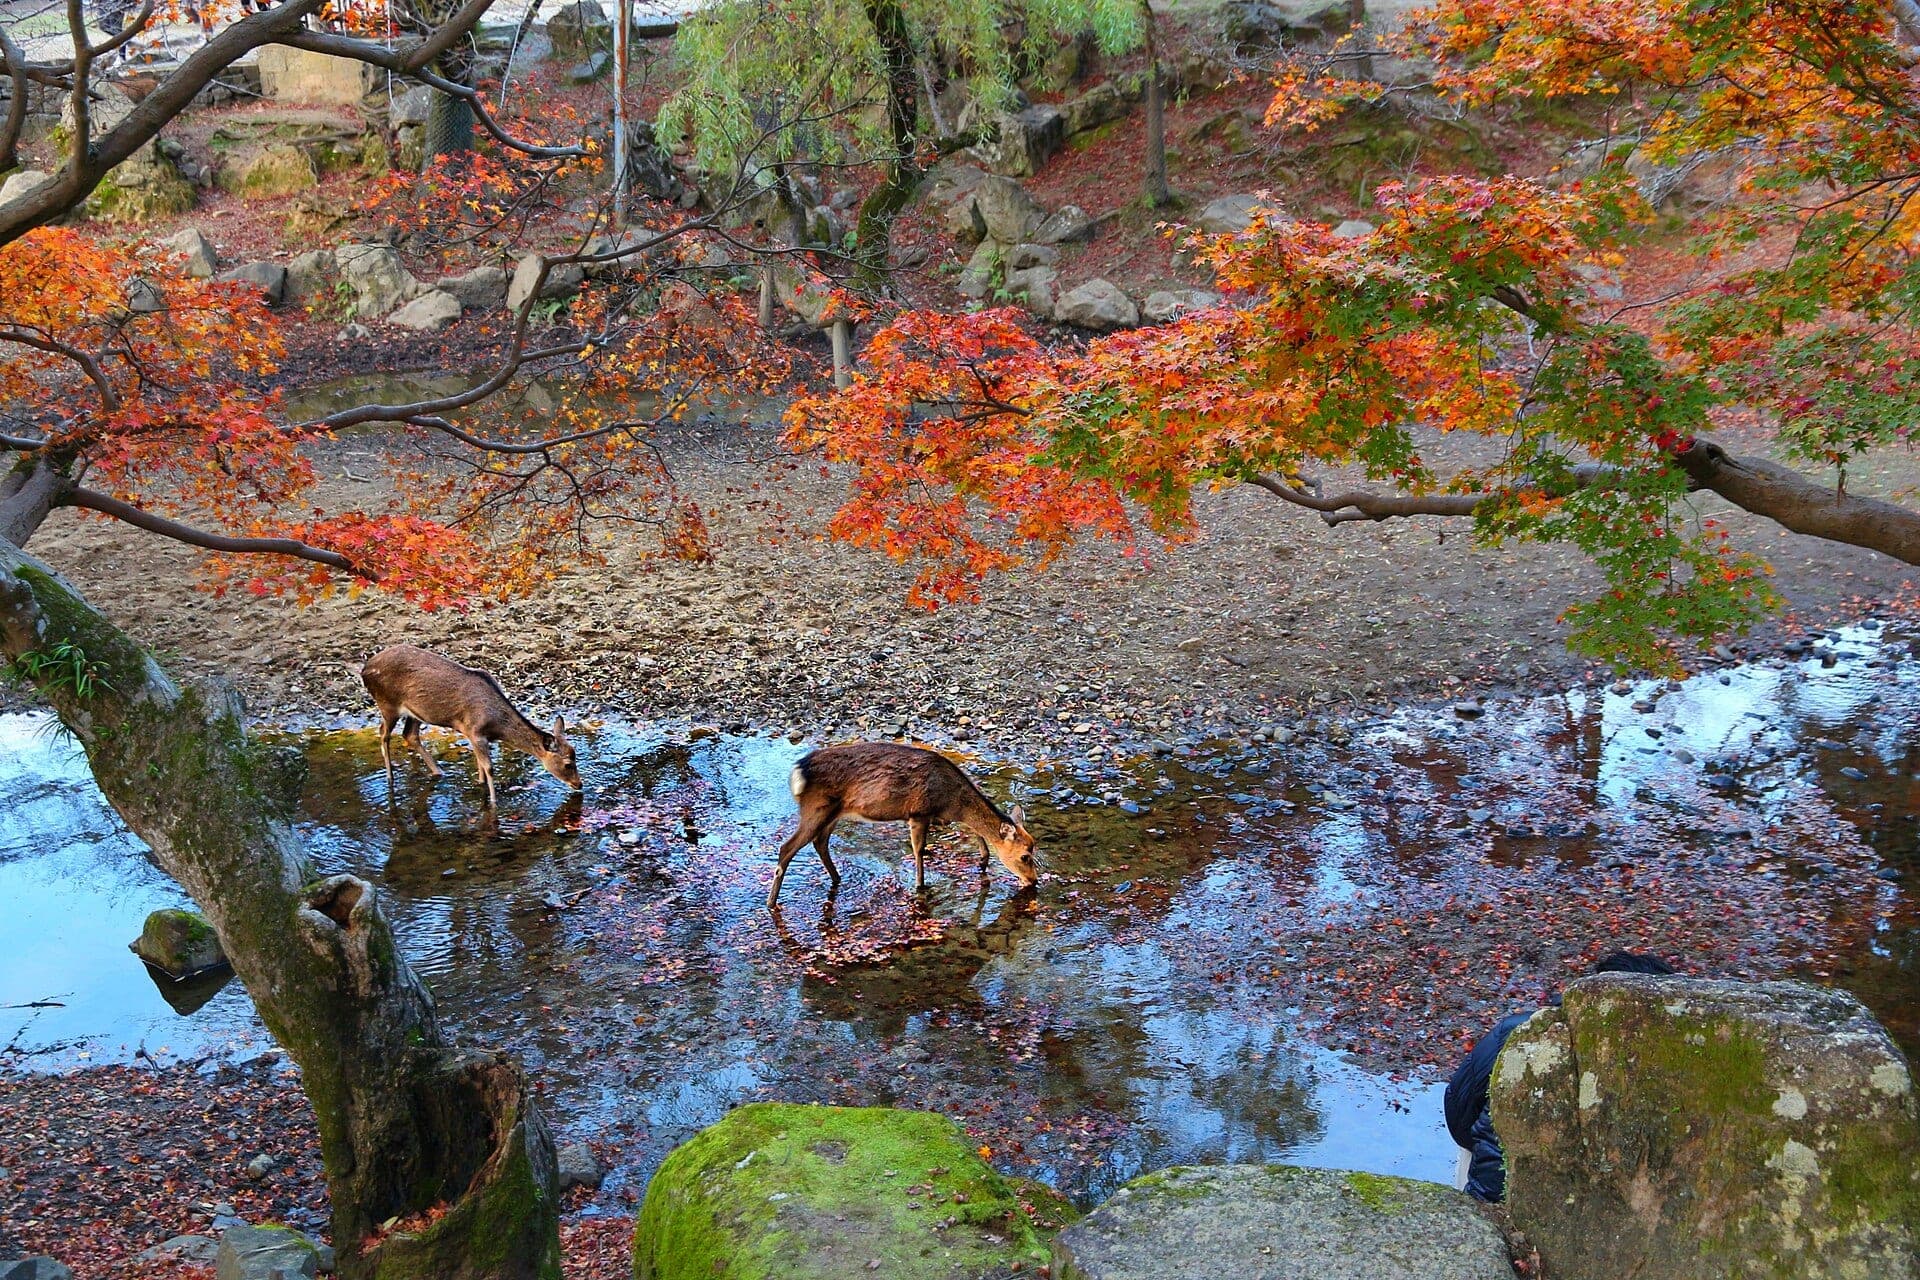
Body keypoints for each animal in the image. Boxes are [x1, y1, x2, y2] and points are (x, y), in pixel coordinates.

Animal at [360, 644, 581, 807]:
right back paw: (390, 779)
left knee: (410, 735)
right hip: (387, 704)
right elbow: (489, 767)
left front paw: (480, 787)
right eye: (567, 764)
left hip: (416, 712)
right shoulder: (475, 731)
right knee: (383, 734)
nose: (579, 784)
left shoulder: (473, 735)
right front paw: (493, 804)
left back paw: (439, 772)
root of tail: (364, 669)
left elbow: (480, 766)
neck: (497, 725)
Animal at [768, 741, 1039, 909]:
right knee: (787, 848)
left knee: (820, 842)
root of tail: (797, 772)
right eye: (1025, 856)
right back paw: (771, 903)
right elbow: (919, 851)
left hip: (832, 813)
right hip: (816, 808)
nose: (1033, 881)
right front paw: (920, 886)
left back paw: (837, 878)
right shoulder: (919, 812)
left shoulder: (942, 816)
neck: (951, 800)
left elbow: (973, 832)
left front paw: (982, 862)